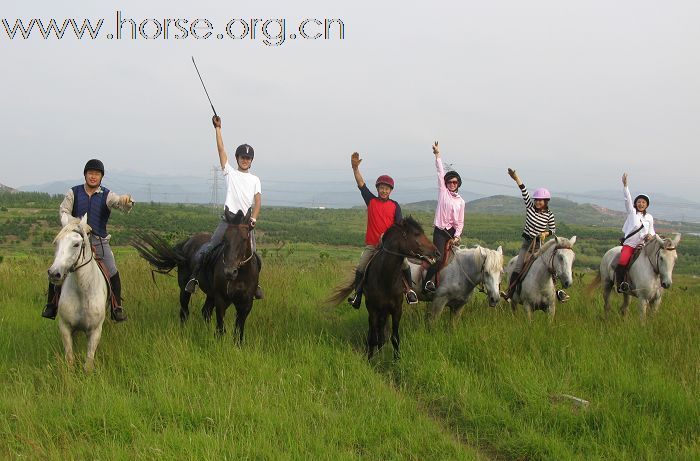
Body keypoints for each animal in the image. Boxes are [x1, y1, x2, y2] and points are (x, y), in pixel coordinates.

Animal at [47, 215, 108, 370]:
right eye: (57, 243)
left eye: (76, 244)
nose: (54, 273)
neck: (82, 292)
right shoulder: (65, 328)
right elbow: (70, 359)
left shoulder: (95, 331)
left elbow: (89, 363)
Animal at [132, 208, 260, 342]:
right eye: (225, 239)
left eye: (244, 239)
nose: (230, 272)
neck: (240, 276)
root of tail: (187, 242)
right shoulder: (221, 299)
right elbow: (220, 328)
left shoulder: (246, 304)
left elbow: (239, 331)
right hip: (185, 289)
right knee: (184, 312)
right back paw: (183, 333)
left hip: (211, 294)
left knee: (205, 312)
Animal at [330, 216, 438, 360]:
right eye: (416, 234)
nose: (437, 252)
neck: (386, 278)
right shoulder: (373, 309)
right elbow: (372, 337)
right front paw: (370, 359)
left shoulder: (397, 310)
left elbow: (395, 337)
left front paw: (396, 360)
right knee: (374, 331)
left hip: (385, 311)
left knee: (381, 332)